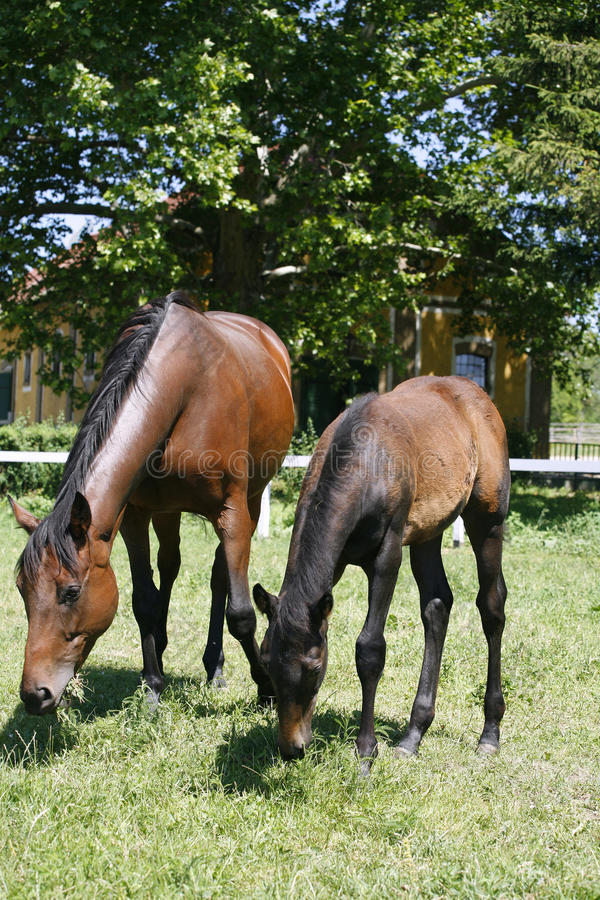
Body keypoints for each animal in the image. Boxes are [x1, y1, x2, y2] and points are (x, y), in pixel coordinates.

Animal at [11, 291, 294, 714]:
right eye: (21, 590)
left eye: (71, 592)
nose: (34, 695)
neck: (180, 386)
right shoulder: (135, 515)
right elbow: (144, 599)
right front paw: (151, 688)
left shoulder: (232, 512)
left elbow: (241, 613)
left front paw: (266, 688)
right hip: (168, 511)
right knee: (170, 566)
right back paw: (163, 649)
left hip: (254, 498)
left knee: (218, 577)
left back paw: (215, 667)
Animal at [253, 376, 510, 771]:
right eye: (266, 663)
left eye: (314, 667)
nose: (291, 748)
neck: (367, 462)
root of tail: (477, 394)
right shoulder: (336, 562)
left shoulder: (387, 554)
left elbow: (370, 649)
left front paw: (365, 752)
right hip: (427, 533)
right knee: (437, 605)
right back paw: (413, 735)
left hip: (488, 519)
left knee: (492, 606)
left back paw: (489, 733)